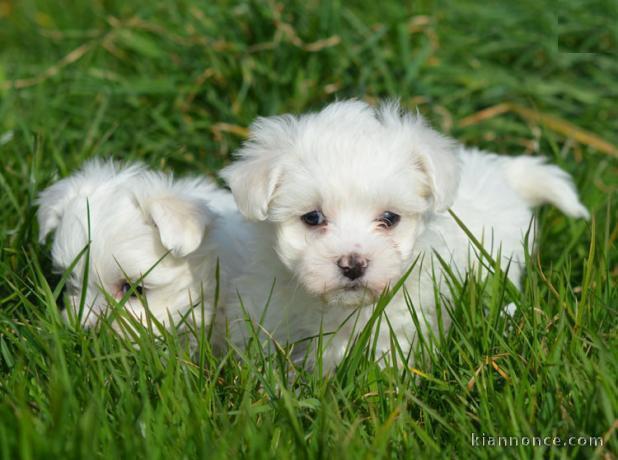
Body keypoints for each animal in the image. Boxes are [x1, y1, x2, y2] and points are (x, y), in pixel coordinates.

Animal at [218, 99, 588, 370]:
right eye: (313, 217)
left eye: (389, 218)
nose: (353, 264)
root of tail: (503, 174)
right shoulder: (266, 314)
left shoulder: (397, 326)